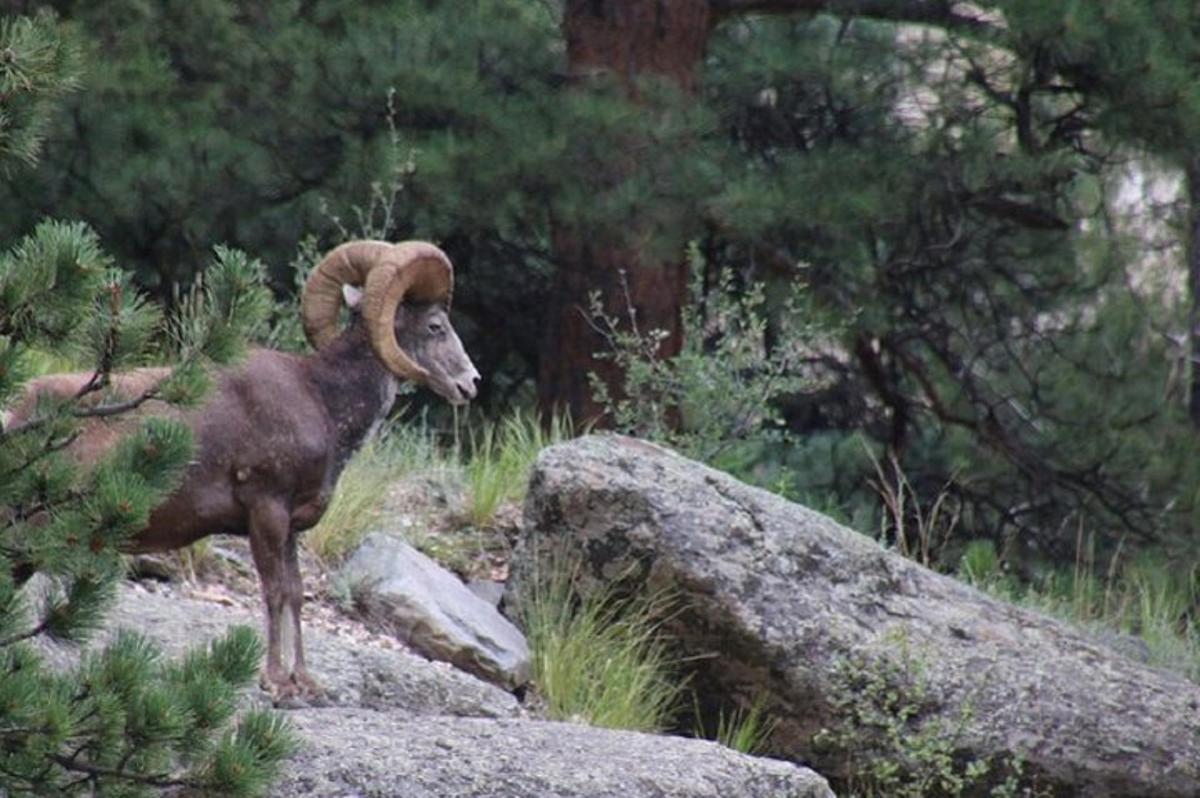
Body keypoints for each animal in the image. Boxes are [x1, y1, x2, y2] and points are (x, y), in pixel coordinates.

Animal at [3, 241, 477, 696]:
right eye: (435, 326)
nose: (470, 384)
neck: (322, 399)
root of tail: (18, 417)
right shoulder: (266, 510)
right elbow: (274, 592)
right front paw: (275, 683)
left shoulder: (290, 526)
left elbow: (296, 593)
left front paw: (306, 684)